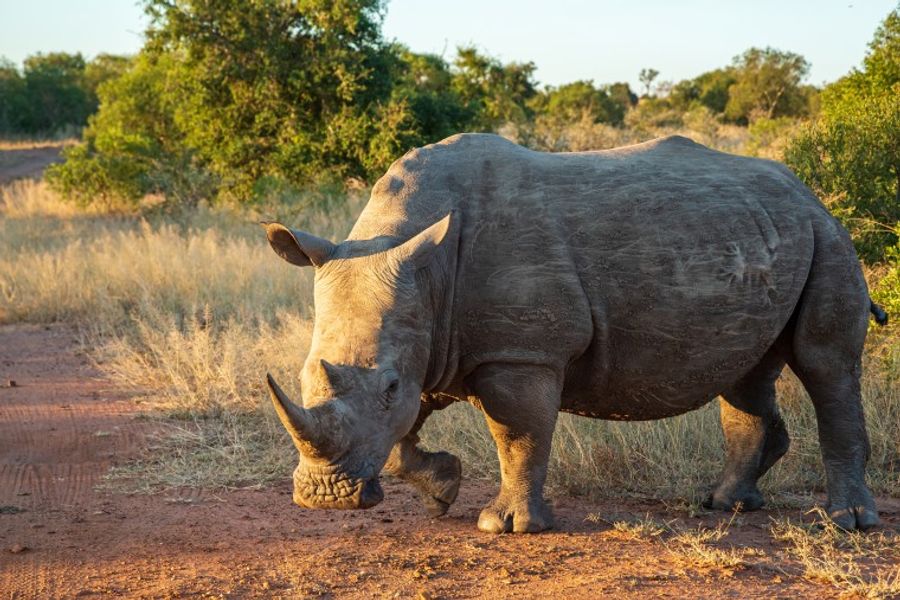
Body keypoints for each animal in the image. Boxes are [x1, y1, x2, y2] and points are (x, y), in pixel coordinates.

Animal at [262, 133, 886, 533]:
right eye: (303, 376)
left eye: (389, 385)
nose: (324, 498)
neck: (421, 255)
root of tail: (809, 192)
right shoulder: (435, 336)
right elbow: (399, 438)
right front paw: (443, 489)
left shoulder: (523, 351)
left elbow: (517, 435)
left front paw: (506, 526)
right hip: (760, 235)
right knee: (747, 370)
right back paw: (726, 505)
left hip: (829, 237)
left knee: (826, 364)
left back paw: (848, 523)